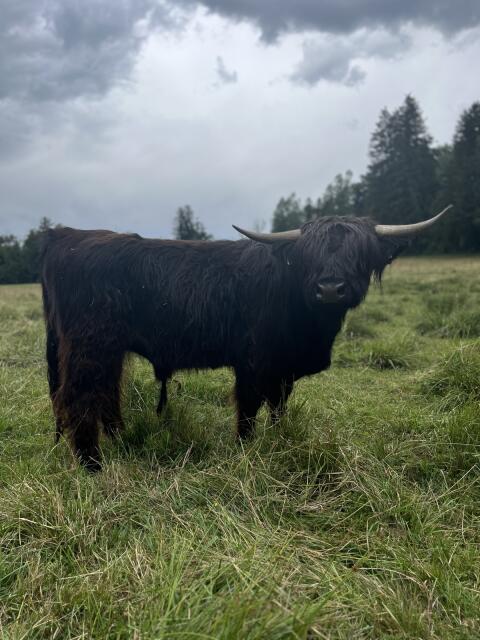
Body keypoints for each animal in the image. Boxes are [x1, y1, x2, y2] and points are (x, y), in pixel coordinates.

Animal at [41, 207, 451, 471]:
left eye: (359, 253)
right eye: (310, 255)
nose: (330, 289)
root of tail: (65, 236)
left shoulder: (284, 368)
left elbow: (279, 407)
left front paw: (281, 439)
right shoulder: (254, 362)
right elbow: (249, 409)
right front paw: (245, 450)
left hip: (106, 349)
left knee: (105, 393)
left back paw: (121, 442)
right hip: (90, 346)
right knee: (78, 398)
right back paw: (93, 465)